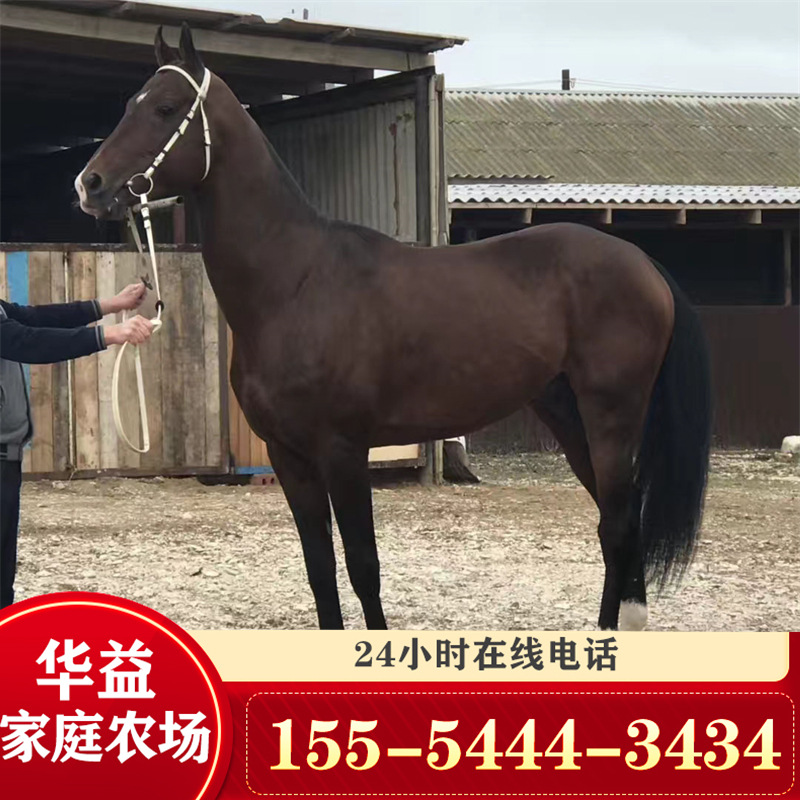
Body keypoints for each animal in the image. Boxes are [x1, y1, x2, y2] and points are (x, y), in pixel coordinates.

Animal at [75, 24, 712, 631]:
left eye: (165, 108)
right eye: (131, 103)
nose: (90, 184)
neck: (295, 282)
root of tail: (642, 262)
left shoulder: (343, 451)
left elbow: (363, 566)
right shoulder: (289, 457)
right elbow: (320, 569)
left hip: (612, 415)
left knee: (619, 524)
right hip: (566, 411)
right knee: (615, 519)